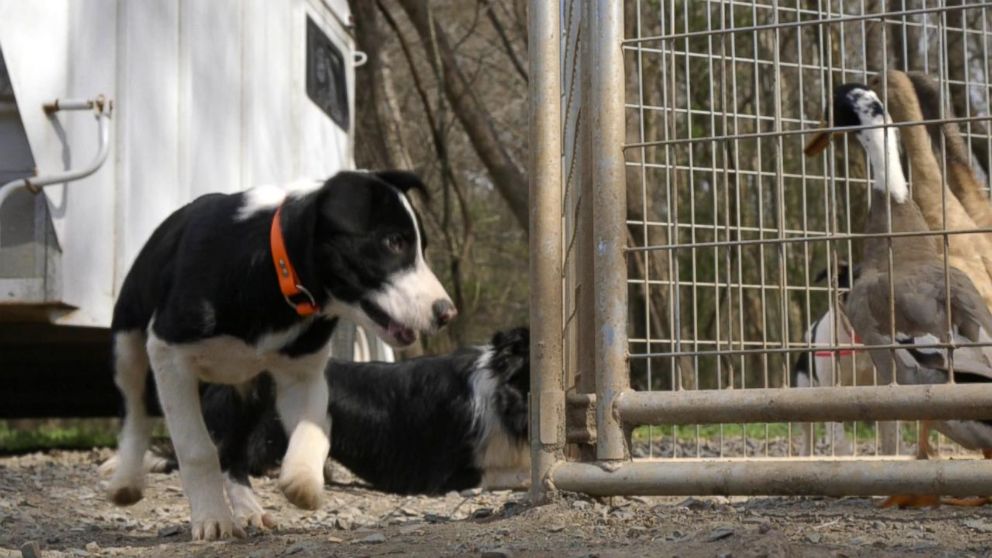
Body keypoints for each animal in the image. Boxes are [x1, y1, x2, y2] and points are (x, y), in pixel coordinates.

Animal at [104, 172, 454, 544]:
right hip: (129, 342)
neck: (275, 273)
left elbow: (313, 428)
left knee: (233, 451)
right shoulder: (169, 354)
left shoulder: (303, 371)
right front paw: (212, 518)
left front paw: (302, 483)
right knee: (136, 410)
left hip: (250, 388)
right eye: (393, 242)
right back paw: (127, 480)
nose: (446, 313)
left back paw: (249, 509)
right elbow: (196, 448)